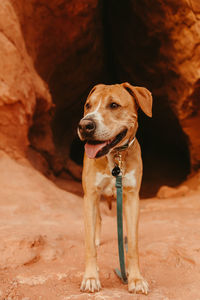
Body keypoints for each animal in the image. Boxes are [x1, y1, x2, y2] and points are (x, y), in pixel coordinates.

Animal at [77, 83, 152, 294]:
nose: (85, 125)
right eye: (88, 105)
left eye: (114, 105)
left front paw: (135, 279)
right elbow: (89, 246)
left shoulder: (132, 197)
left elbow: (133, 245)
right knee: (97, 219)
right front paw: (91, 277)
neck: (115, 157)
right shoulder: (90, 195)